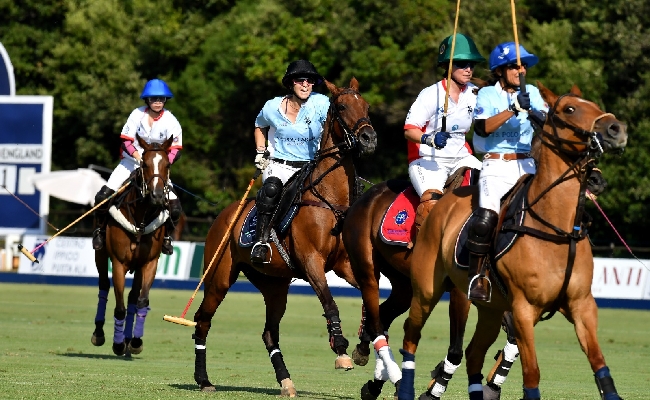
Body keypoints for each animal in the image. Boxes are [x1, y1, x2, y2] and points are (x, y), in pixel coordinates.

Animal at [90, 135, 175, 356]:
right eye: (144, 164)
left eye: (167, 164)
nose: (157, 196)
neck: (141, 218)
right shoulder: (119, 263)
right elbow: (119, 307)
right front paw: (117, 344)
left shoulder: (149, 263)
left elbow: (141, 301)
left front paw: (135, 341)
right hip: (100, 256)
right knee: (104, 287)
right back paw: (100, 334)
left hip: (137, 266)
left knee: (132, 297)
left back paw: (128, 339)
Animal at [190, 79, 378, 396]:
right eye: (341, 106)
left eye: (366, 105)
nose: (368, 139)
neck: (330, 199)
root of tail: (225, 214)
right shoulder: (311, 261)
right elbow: (330, 302)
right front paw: (341, 349)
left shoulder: (343, 264)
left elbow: (367, 293)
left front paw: (363, 347)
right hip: (218, 277)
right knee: (202, 321)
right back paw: (204, 380)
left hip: (274, 285)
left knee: (269, 333)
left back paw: (286, 382)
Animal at [398, 82, 624, 400]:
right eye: (570, 109)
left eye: (594, 104)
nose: (616, 129)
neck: (556, 227)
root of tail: (441, 204)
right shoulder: (523, 308)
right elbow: (531, 373)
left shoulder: (581, 306)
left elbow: (600, 365)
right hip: (427, 290)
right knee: (411, 334)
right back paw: (405, 388)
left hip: (489, 308)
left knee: (474, 352)